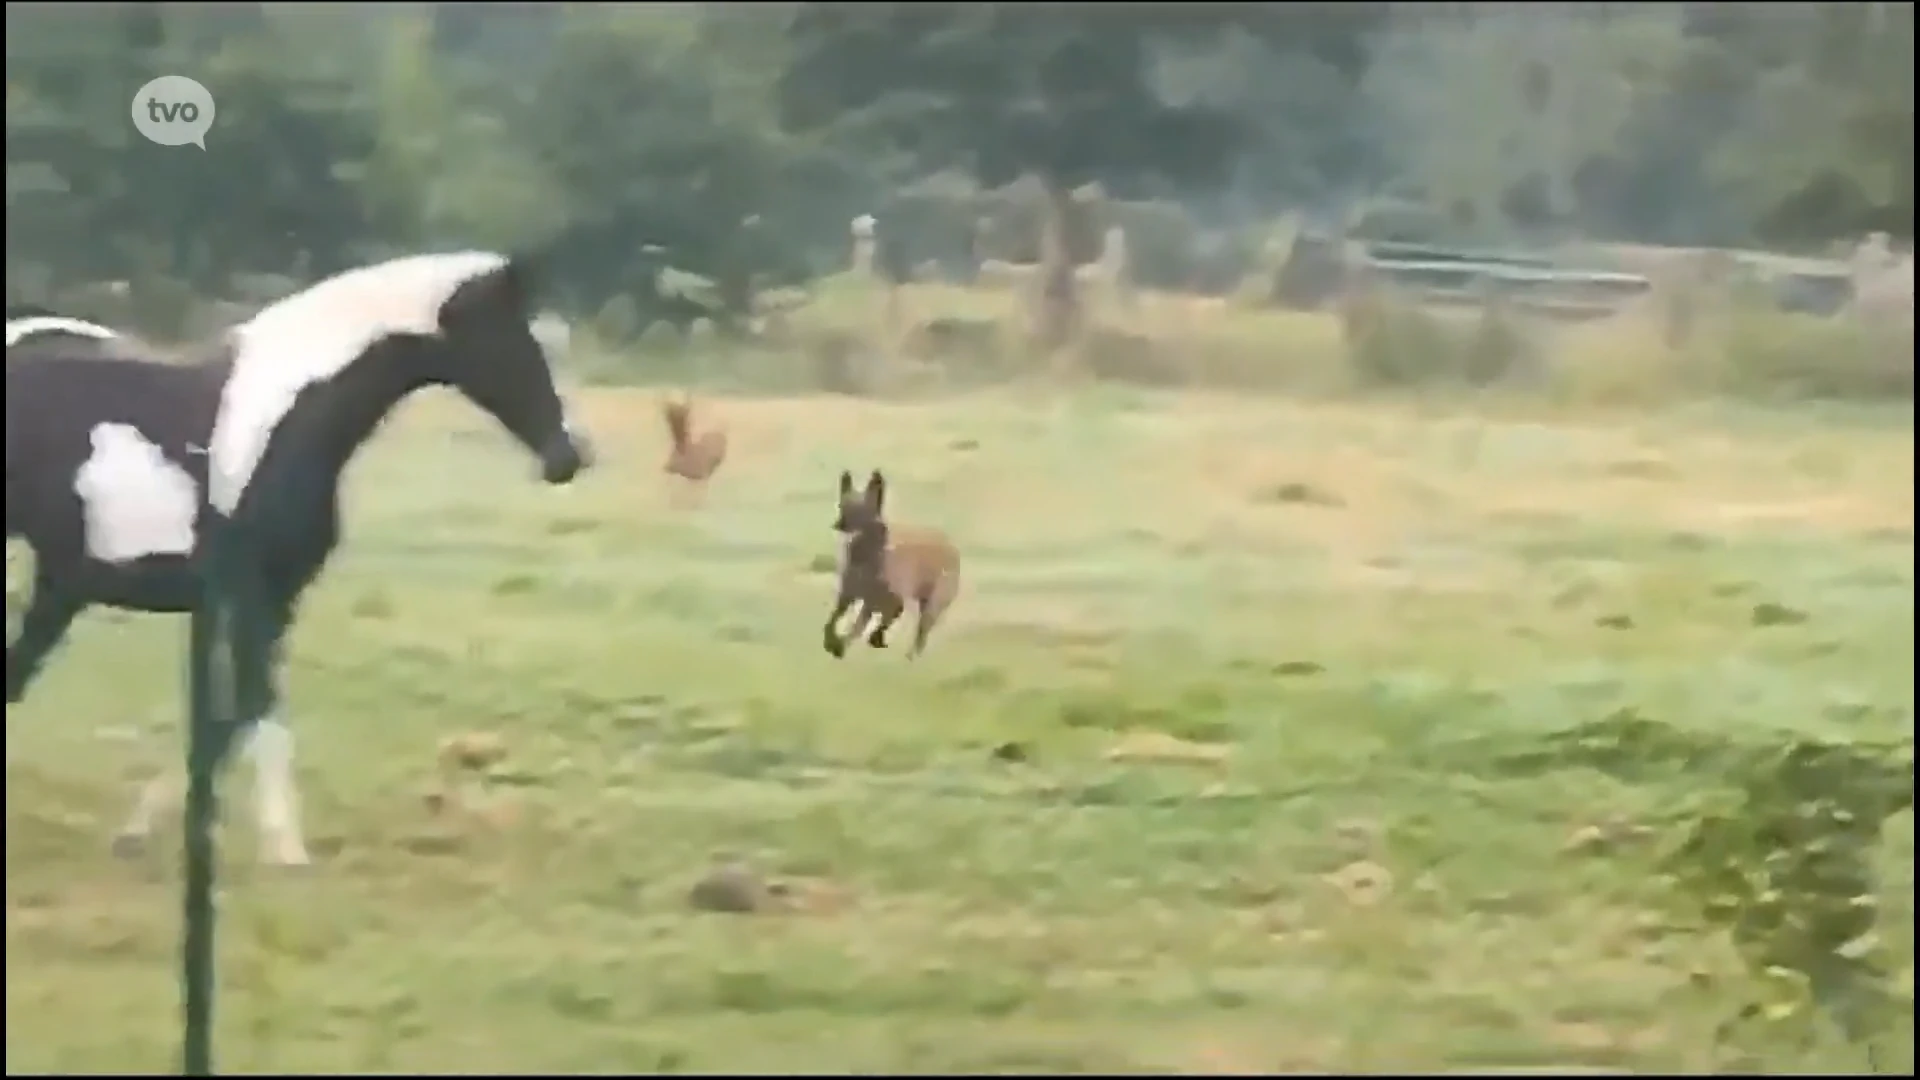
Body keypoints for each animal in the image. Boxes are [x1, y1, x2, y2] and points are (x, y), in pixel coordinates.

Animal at [5, 247, 591, 860]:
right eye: (511, 340)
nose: (566, 457)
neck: (279, 424)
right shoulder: (250, 595)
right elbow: (249, 706)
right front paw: (283, 848)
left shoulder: (278, 598)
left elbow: (237, 714)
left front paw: (147, 826)